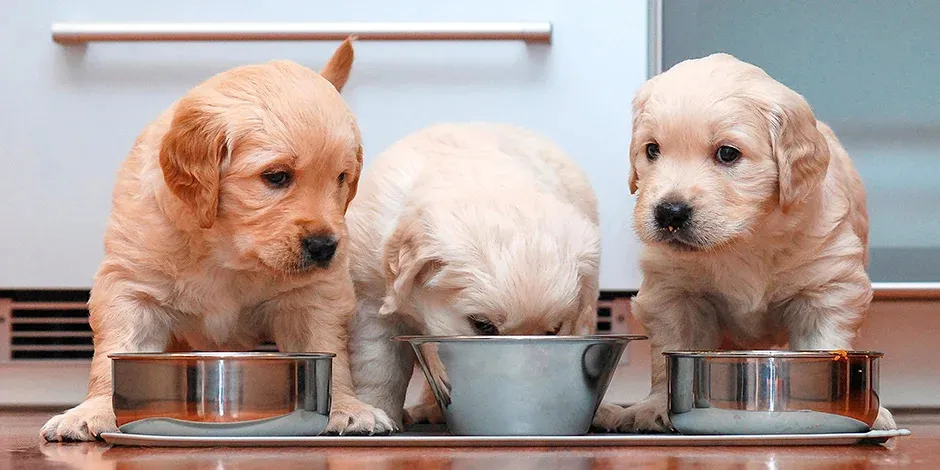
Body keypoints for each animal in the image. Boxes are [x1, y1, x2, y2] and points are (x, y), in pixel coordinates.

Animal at [39, 39, 392, 440]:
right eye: (276, 176)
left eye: (342, 178)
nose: (325, 247)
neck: (226, 248)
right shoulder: (131, 285)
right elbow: (115, 351)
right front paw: (93, 410)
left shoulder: (313, 295)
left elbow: (326, 348)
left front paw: (346, 406)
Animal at [616, 53, 896, 432]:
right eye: (652, 150)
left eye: (727, 153)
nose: (669, 213)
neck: (745, 239)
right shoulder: (672, 293)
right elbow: (668, 354)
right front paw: (656, 406)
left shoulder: (827, 286)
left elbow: (826, 341)